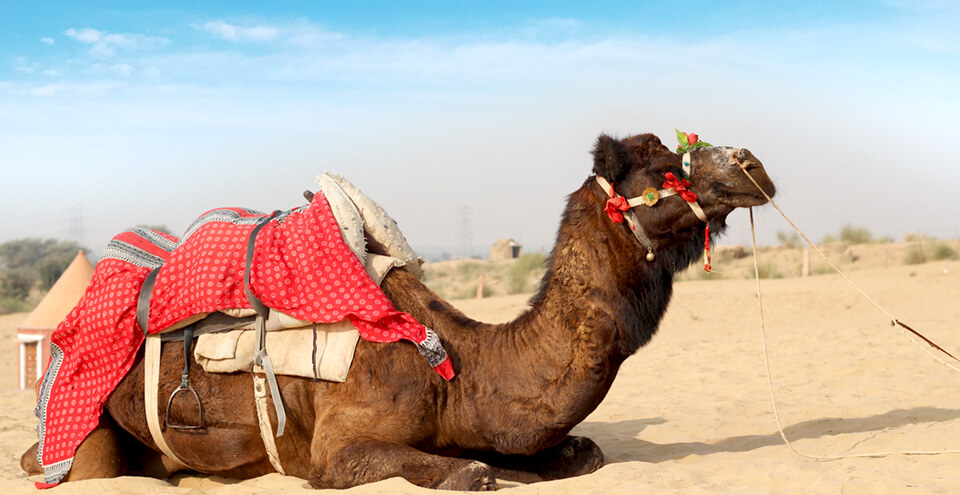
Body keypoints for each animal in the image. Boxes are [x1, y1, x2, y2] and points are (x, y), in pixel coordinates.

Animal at [22, 131, 775, 490]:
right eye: (665, 169)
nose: (752, 163)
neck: (461, 367)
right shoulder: (335, 448)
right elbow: (469, 474)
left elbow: (580, 453)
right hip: (84, 427)